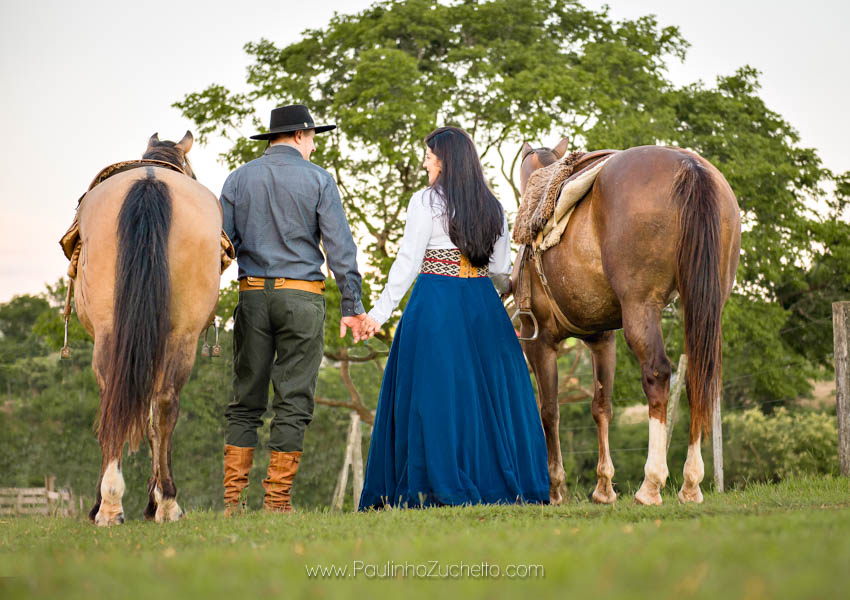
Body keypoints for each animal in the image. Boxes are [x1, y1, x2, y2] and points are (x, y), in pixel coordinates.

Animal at [71, 132, 222, 524]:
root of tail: (150, 183)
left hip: (119, 332)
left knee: (132, 400)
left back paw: (121, 503)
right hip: (175, 335)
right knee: (161, 402)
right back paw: (151, 501)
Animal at [512, 138, 740, 504]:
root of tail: (689, 166)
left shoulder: (541, 341)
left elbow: (549, 409)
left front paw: (555, 488)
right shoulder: (602, 339)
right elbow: (601, 406)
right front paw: (604, 487)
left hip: (641, 307)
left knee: (658, 373)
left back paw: (652, 483)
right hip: (705, 305)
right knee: (697, 379)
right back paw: (690, 484)